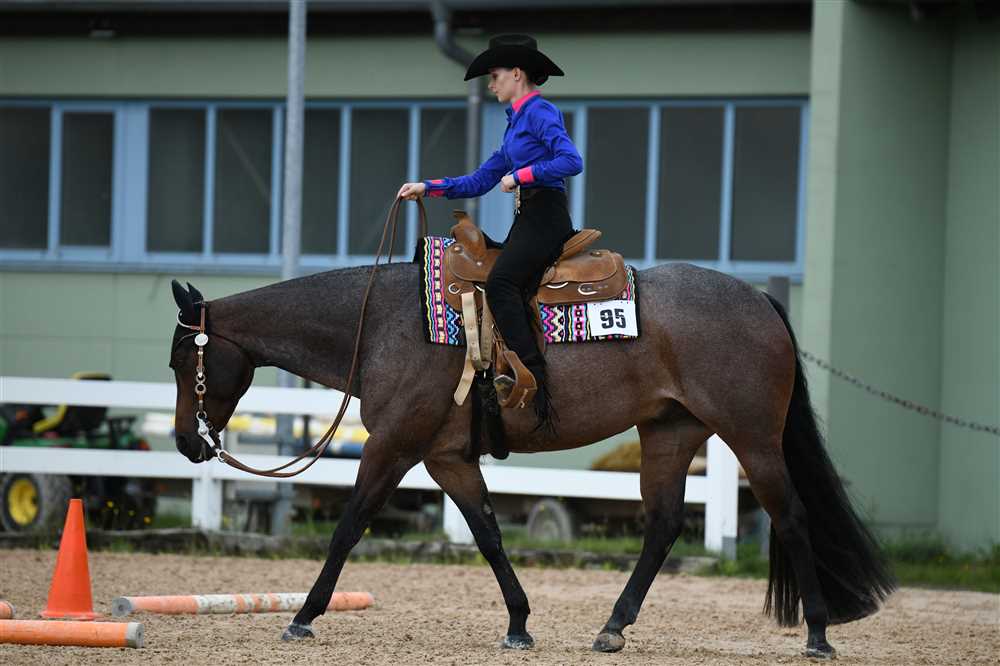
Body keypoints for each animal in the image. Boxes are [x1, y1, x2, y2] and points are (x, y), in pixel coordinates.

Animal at [168, 230, 894, 659]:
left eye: (182, 359)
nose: (186, 444)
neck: (383, 324)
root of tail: (758, 300)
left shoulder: (393, 447)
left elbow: (349, 527)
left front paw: (304, 615)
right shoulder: (448, 458)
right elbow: (488, 532)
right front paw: (518, 623)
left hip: (751, 437)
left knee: (791, 515)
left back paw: (819, 634)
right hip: (670, 432)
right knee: (662, 526)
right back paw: (612, 627)